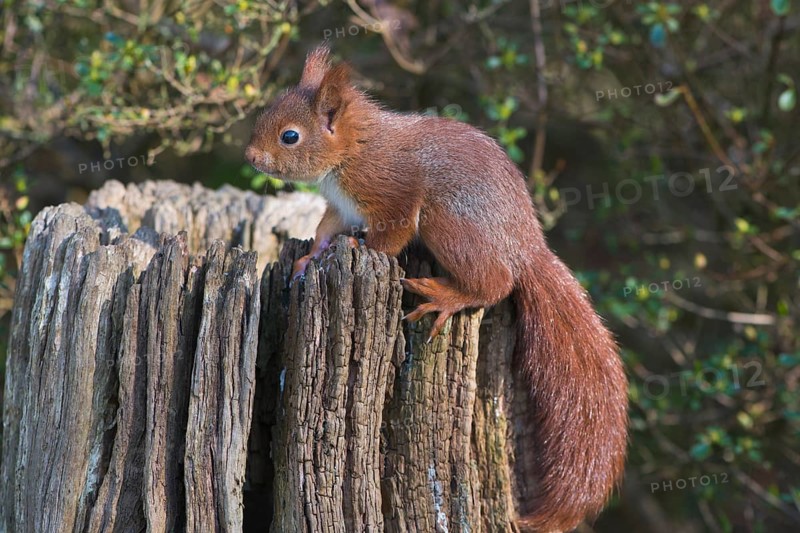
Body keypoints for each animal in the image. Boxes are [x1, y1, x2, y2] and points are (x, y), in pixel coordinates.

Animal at [245, 44, 628, 532]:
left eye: (290, 136)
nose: (250, 156)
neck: (352, 150)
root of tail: (525, 246)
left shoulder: (393, 196)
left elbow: (388, 240)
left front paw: (360, 248)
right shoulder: (342, 206)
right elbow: (325, 230)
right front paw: (311, 256)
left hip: (449, 223)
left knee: (495, 283)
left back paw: (446, 295)